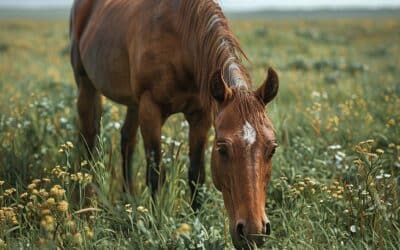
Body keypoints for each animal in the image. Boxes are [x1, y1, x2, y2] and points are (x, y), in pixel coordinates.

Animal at [70, 0, 280, 248]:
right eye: (222, 148)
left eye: (272, 149)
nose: (253, 233)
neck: (181, 40)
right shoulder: (150, 108)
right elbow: (155, 173)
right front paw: (155, 223)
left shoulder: (200, 115)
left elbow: (196, 175)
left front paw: (198, 223)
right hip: (87, 86)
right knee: (89, 141)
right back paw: (87, 202)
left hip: (132, 103)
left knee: (126, 141)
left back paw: (128, 199)